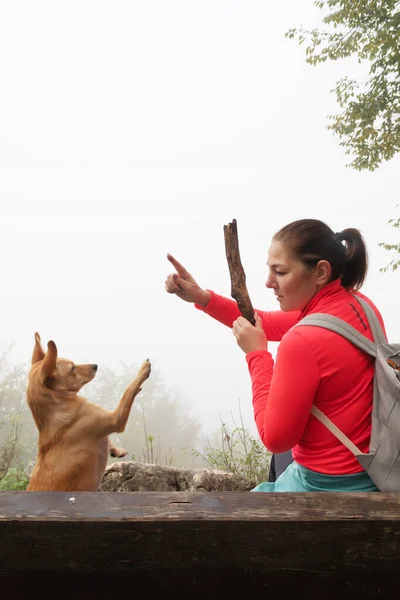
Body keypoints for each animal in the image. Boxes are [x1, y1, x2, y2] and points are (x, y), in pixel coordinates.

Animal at [26, 332, 152, 492]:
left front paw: (116, 450)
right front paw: (143, 370)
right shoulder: (115, 419)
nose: (95, 365)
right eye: (73, 368)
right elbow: (128, 391)